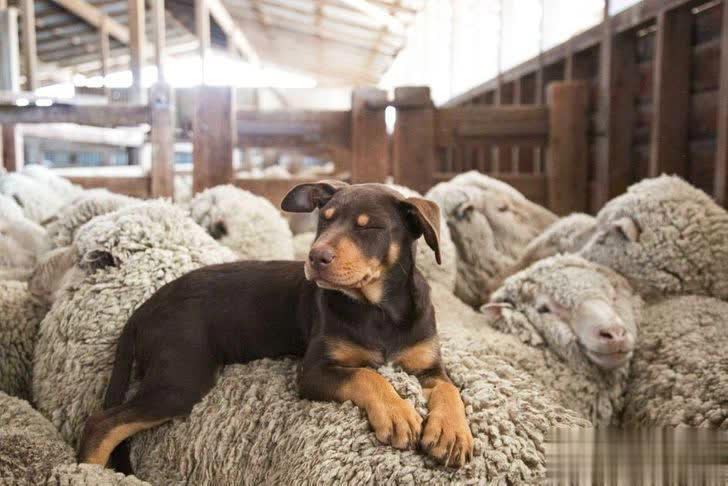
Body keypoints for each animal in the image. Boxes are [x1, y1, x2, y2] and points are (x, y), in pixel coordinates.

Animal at [79, 181, 474, 470]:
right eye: (324, 220)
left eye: (370, 228)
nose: (316, 257)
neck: (379, 310)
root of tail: (144, 308)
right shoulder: (314, 371)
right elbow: (367, 375)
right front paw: (396, 413)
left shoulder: (429, 364)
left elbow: (449, 389)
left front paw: (451, 433)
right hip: (181, 378)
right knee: (101, 423)